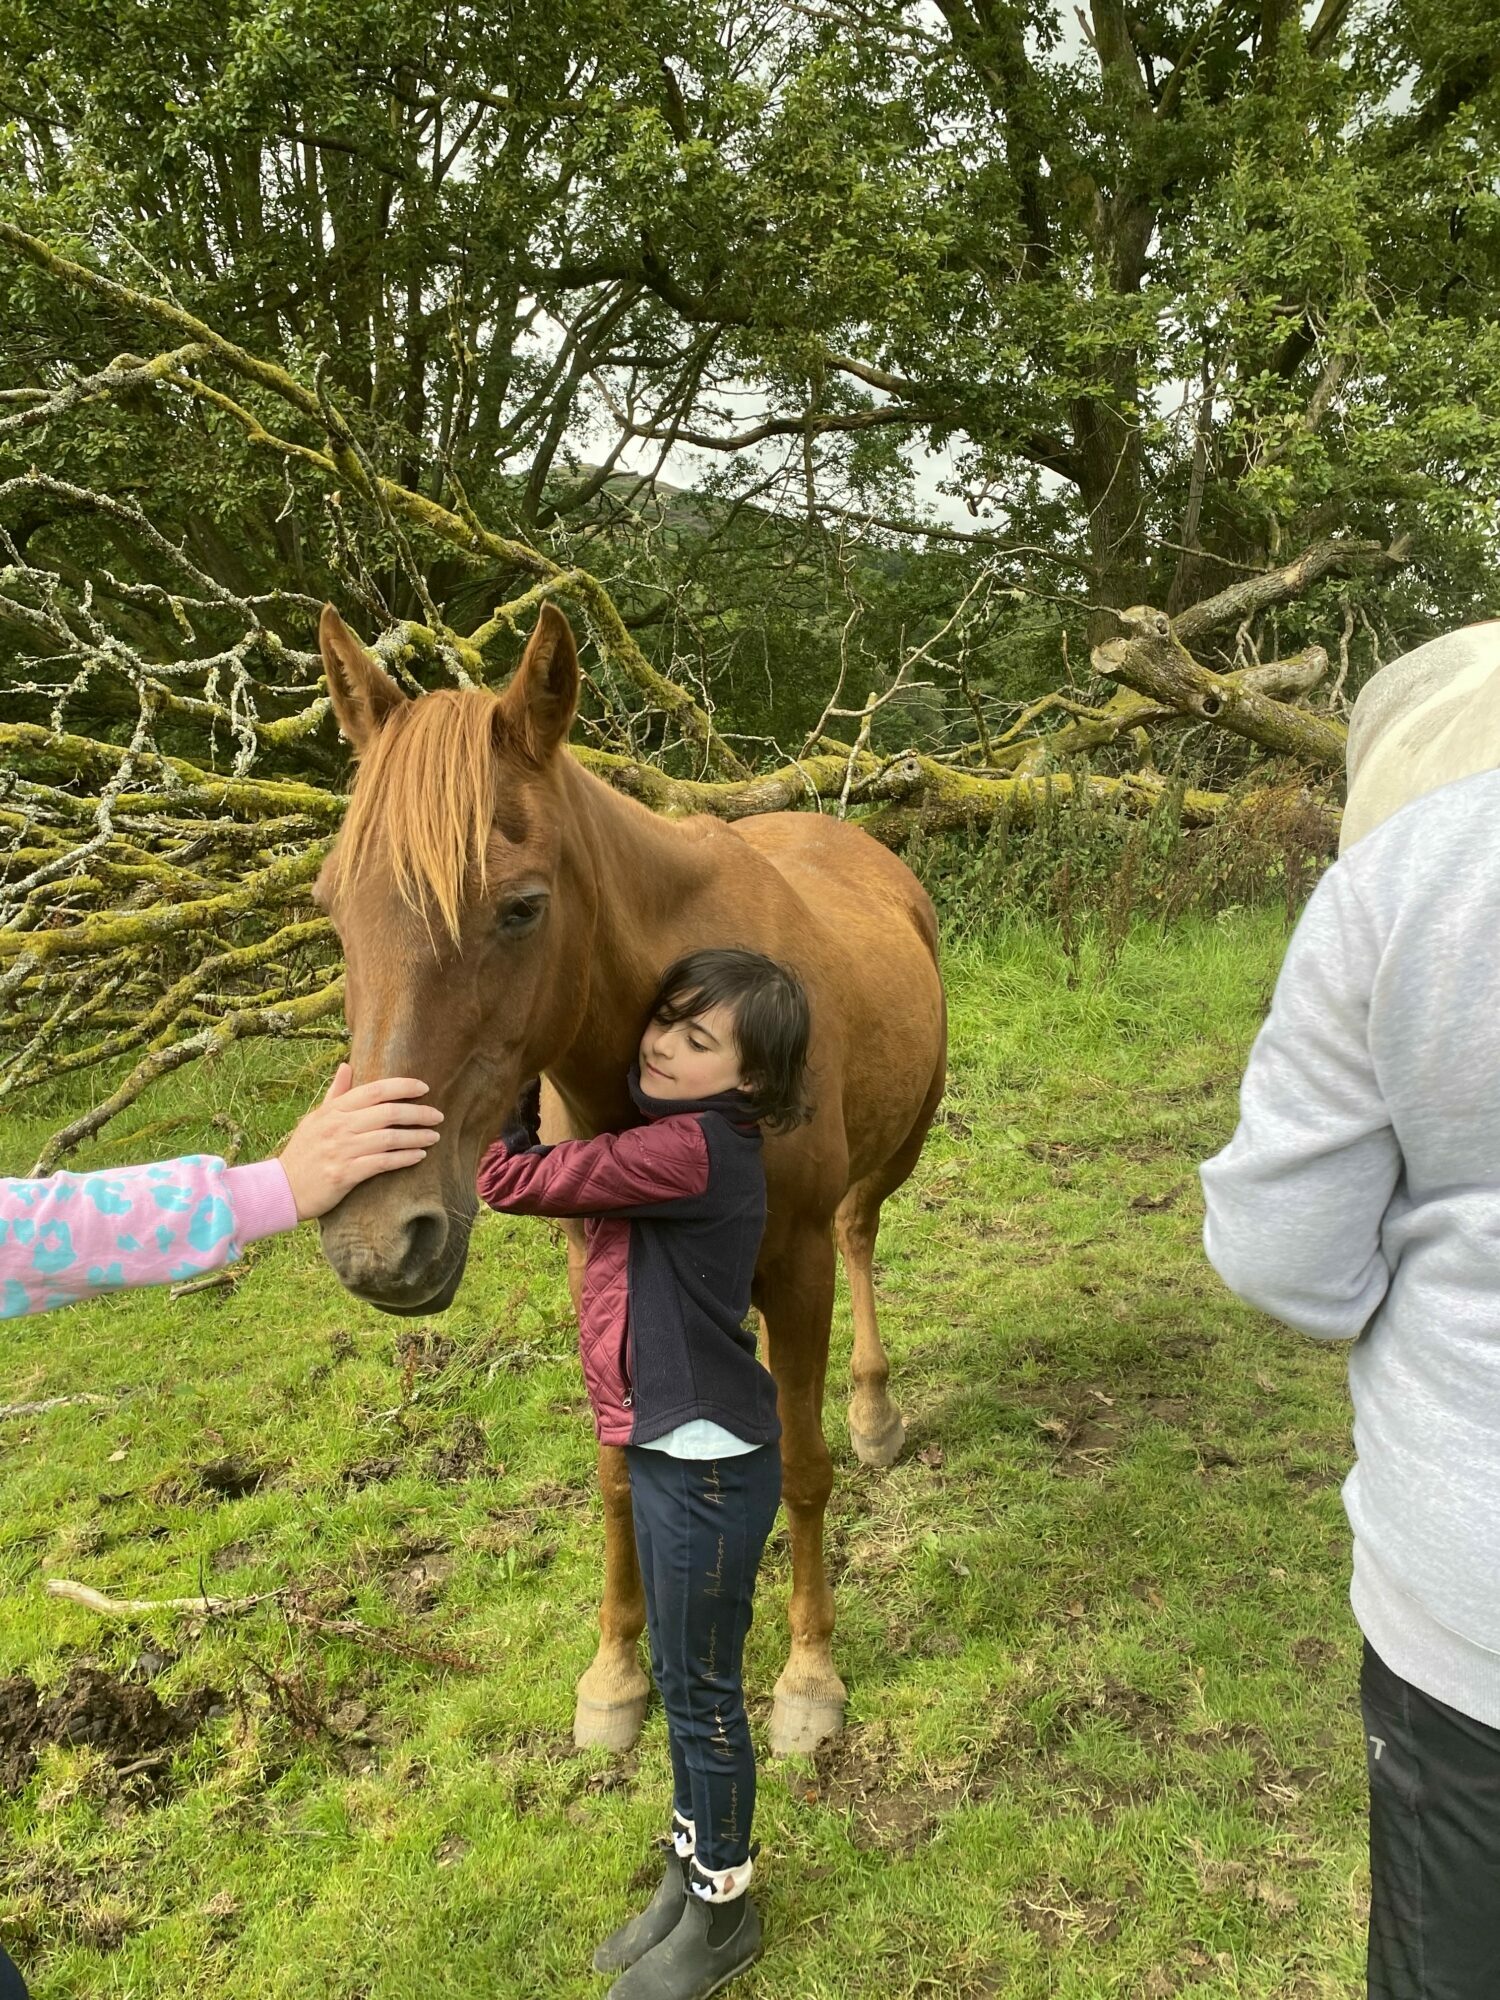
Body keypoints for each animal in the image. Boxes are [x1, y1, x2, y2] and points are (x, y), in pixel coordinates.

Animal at [311, 601, 948, 1755]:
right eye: (332, 906)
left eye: (521, 908)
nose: (378, 1240)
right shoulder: (594, 1265)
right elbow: (614, 1473)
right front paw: (613, 1675)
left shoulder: (791, 1267)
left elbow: (802, 1463)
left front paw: (809, 1676)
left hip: (898, 1150)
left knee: (860, 1233)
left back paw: (876, 1412)